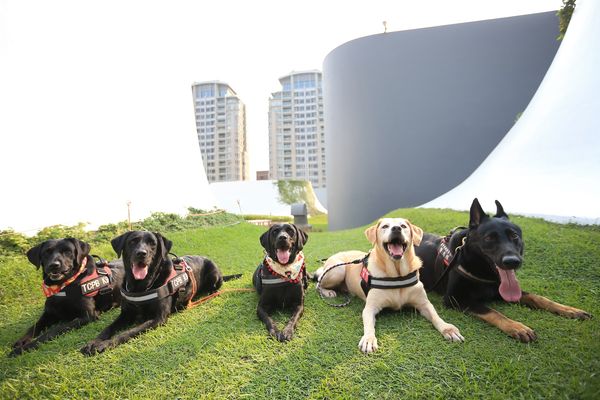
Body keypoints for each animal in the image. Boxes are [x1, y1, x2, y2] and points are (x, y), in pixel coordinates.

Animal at [81, 231, 226, 356]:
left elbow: (128, 332)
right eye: (132, 241)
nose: (141, 253)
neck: (140, 287)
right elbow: (108, 328)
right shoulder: (126, 314)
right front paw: (94, 342)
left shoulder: (158, 318)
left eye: (153, 243)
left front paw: (105, 344)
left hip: (214, 273)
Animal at [418, 198, 592, 342]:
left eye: (514, 236)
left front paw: (570, 310)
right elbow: (493, 312)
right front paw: (517, 327)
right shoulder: (455, 298)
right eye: (489, 238)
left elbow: (538, 298)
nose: (512, 261)